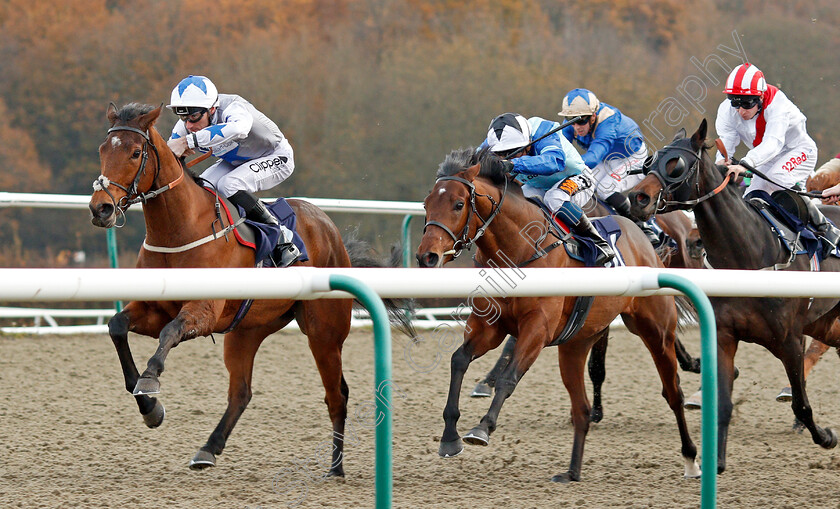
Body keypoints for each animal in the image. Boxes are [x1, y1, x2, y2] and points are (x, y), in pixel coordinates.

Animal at [88, 102, 410, 472]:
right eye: (103, 150)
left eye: (135, 152)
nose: (100, 208)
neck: (181, 229)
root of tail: (330, 230)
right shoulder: (154, 307)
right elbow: (117, 326)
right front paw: (150, 408)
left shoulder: (203, 311)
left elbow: (170, 332)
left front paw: (149, 380)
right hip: (248, 330)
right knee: (241, 392)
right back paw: (208, 449)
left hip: (324, 334)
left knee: (336, 395)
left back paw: (335, 467)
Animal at [416, 147, 700, 480]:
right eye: (427, 203)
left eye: (459, 204)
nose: (427, 256)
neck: (522, 249)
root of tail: (641, 235)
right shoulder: (489, 325)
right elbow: (459, 360)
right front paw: (450, 436)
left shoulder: (537, 329)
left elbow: (509, 378)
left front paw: (482, 428)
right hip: (578, 342)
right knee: (582, 406)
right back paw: (572, 471)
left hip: (656, 331)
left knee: (673, 392)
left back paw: (691, 457)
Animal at [632, 119, 840, 472]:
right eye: (649, 163)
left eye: (676, 165)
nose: (637, 198)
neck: (750, 254)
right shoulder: (725, 337)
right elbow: (724, 404)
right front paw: (715, 462)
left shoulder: (790, 339)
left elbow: (800, 403)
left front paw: (825, 436)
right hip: (826, 322)